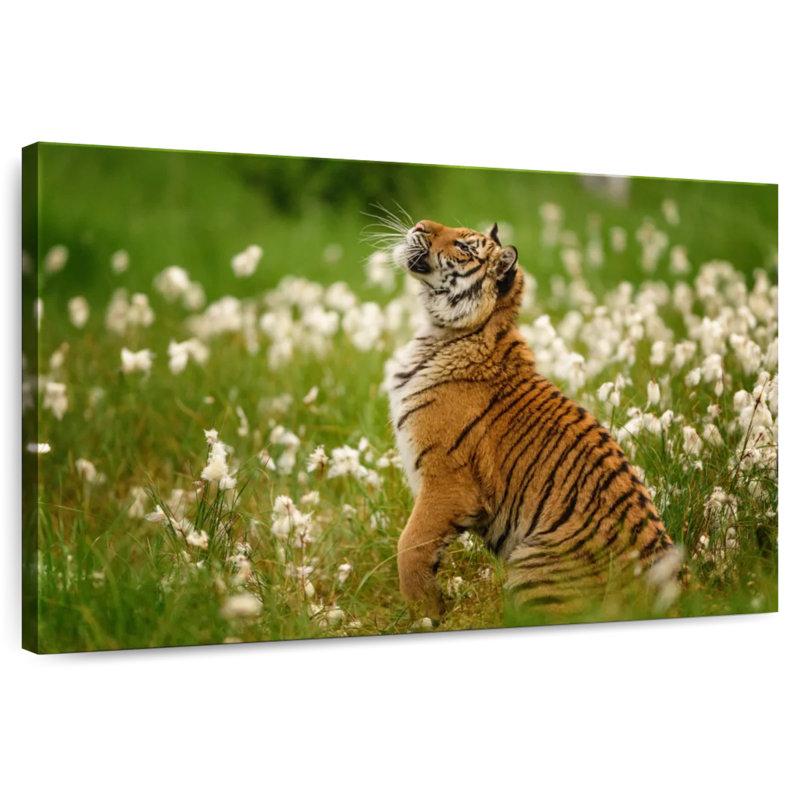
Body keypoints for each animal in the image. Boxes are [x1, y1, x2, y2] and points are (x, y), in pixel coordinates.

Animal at [385, 218, 681, 622]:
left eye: (463, 245)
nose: (419, 225)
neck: (447, 331)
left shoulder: (447, 482)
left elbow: (410, 544)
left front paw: (425, 614)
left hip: (531, 564)